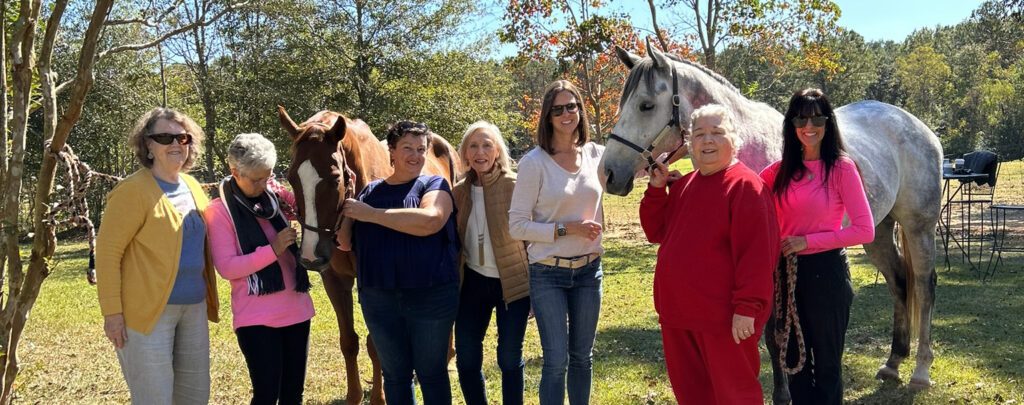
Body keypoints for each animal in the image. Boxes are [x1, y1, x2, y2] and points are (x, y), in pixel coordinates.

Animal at [276, 105, 460, 402]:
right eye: (292, 177)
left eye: (335, 178)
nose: (311, 256)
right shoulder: (335, 280)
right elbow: (349, 341)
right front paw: (354, 396)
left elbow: (376, 345)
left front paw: (379, 397)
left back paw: (448, 357)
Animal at [598, 44, 942, 400]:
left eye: (646, 105)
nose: (607, 173)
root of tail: (916, 125)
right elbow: (770, 335)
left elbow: (774, 332)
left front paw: (783, 395)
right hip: (878, 232)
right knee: (899, 281)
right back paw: (893, 362)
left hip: (919, 228)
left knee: (924, 287)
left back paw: (920, 371)